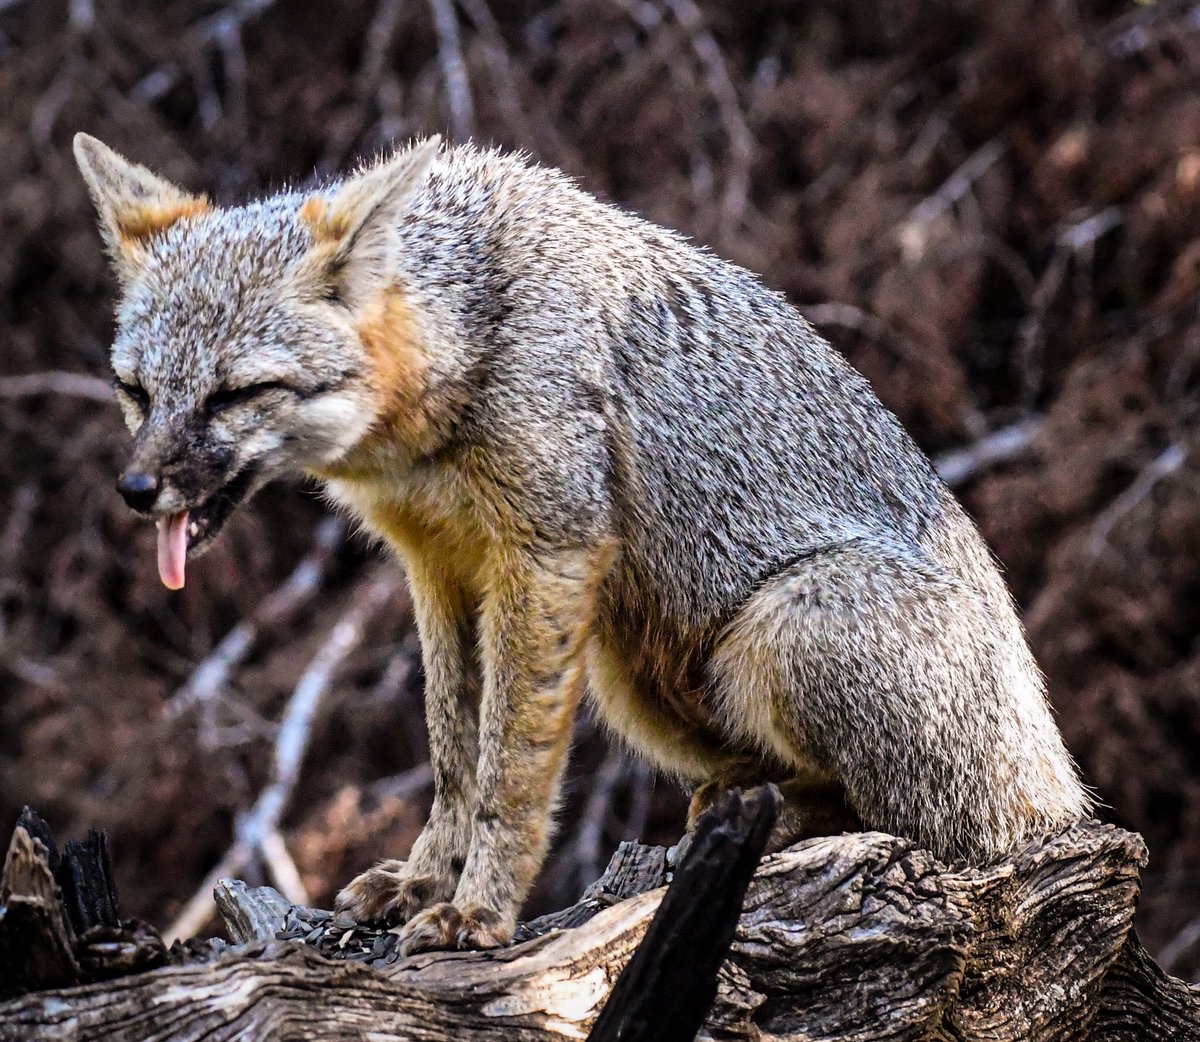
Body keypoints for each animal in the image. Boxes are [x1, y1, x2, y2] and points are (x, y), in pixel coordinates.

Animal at [74, 132, 1091, 954]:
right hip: (625, 669)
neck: (468, 345)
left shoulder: (546, 554)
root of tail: (1061, 789)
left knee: (927, 830)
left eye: (236, 394)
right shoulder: (440, 571)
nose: (135, 492)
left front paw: (478, 913)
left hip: (777, 631)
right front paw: (422, 882)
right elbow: (454, 755)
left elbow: (510, 773)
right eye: (136, 392)